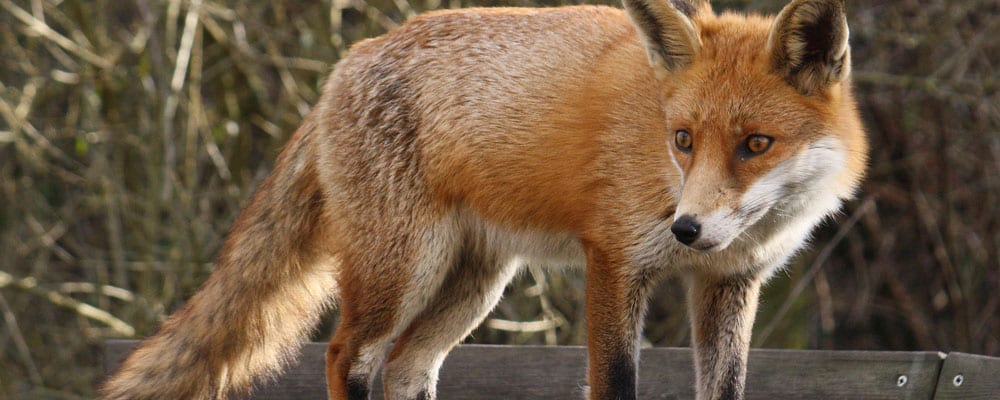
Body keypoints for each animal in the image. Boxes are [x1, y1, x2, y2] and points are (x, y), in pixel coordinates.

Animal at [100, 0, 867, 399]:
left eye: (756, 144)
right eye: (683, 139)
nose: (687, 229)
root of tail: (346, 63)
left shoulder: (729, 282)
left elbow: (726, 387)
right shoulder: (616, 260)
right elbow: (615, 382)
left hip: (472, 284)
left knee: (406, 369)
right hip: (401, 271)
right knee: (346, 356)